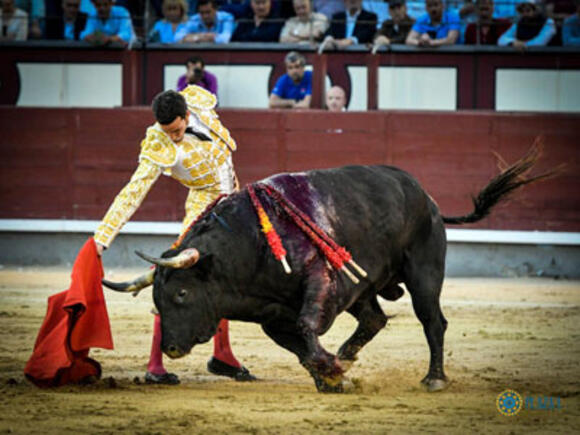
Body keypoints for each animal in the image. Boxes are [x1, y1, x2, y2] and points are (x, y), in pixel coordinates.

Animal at [103, 145, 552, 394]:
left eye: (181, 293)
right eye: (156, 301)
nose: (171, 348)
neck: (246, 248)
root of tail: (427, 197)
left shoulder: (323, 282)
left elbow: (307, 328)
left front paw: (333, 370)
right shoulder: (273, 317)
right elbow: (300, 347)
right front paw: (333, 375)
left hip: (424, 272)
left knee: (432, 321)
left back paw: (434, 379)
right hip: (365, 284)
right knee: (374, 319)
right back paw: (348, 356)